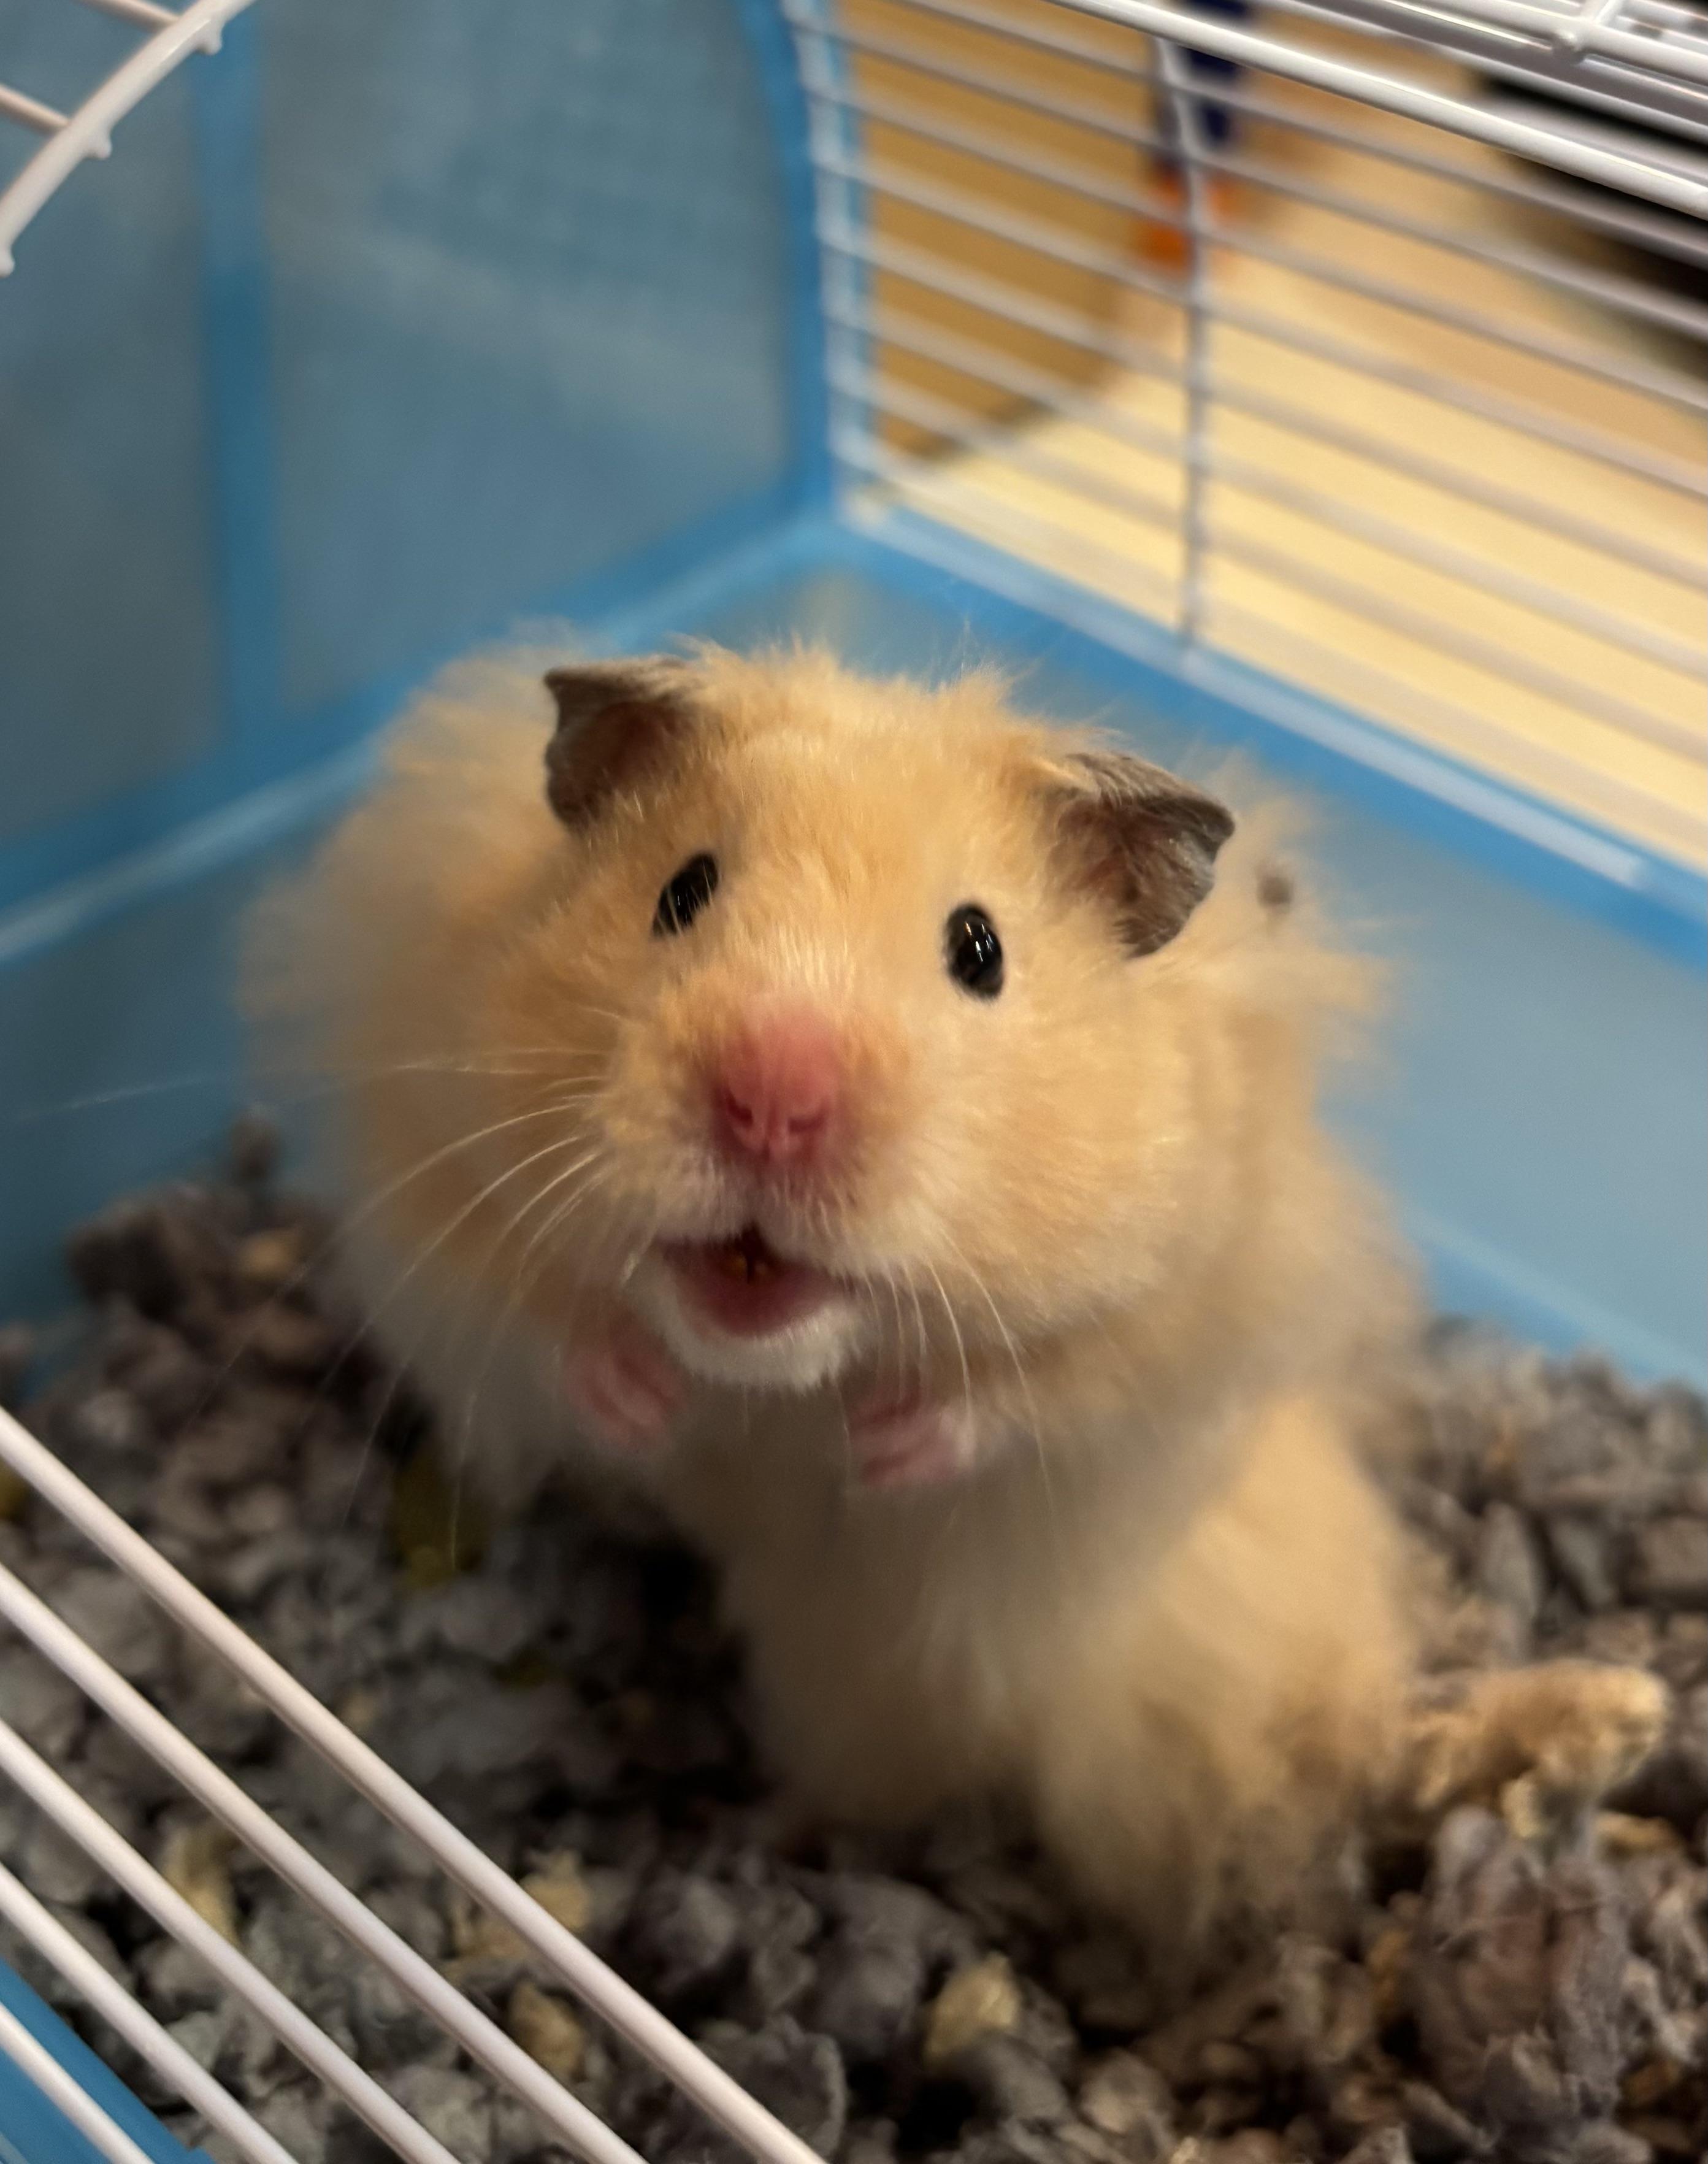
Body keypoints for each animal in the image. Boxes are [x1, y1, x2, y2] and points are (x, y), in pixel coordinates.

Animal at [247, 644, 1664, 1966]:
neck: (779, 1378)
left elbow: (1045, 1396)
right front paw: (643, 1398)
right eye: (680, 891)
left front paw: (887, 1444)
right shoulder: (423, 1162)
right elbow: (538, 1321)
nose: (772, 1096)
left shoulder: (1202, 1303)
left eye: (978, 950)